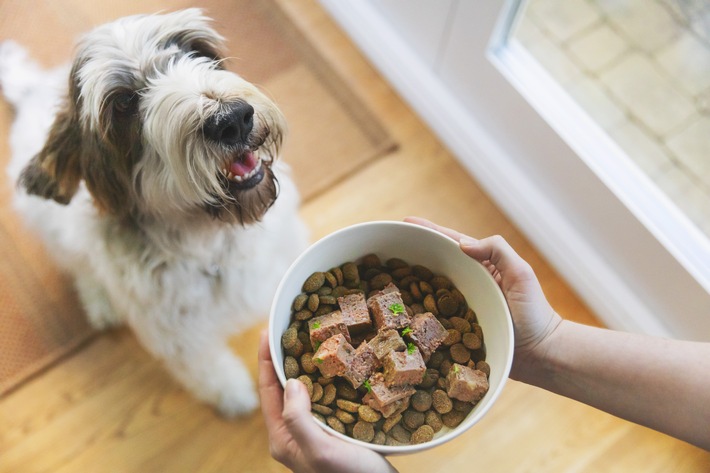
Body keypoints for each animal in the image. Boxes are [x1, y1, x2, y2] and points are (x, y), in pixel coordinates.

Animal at [1, 10, 310, 416]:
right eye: (123, 103)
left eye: (194, 50)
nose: (232, 119)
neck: (214, 242)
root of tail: (32, 92)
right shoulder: (180, 338)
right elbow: (206, 368)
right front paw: (234, 395)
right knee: (80, 269)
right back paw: (100, 303)